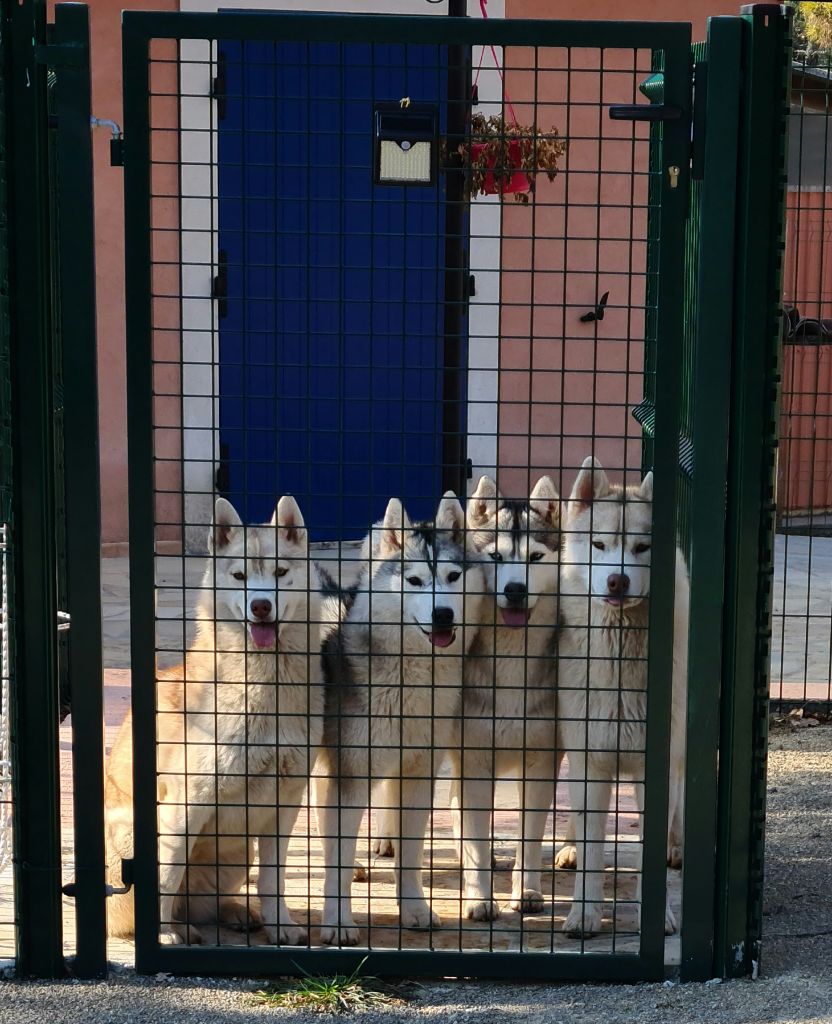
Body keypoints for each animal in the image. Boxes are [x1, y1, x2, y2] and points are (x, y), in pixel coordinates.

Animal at [102, 495, 321, 942]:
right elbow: (166, 877)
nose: (260, 605)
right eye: (239, 576)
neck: (262, 684)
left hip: (237, 853)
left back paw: (236, 913)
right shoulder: (186, 804)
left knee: (206, 904)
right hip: (135, 831)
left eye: (280, 572)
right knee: (149, 906)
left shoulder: (285, 802)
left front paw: (280, 925)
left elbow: (273, 878)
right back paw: (173, 927)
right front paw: (162, 935)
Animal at [315, 493, 489, 942]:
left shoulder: (418, 770)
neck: (412, 678)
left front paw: (413, 908)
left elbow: (411, 856)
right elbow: (337, 858)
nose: (443, 614)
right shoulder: (350, 773)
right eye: (414, 581)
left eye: (452, 576)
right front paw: (337, 921)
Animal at [454, 477, 565, 921]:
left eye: (535, 557)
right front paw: (479, 896)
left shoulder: (539, 759)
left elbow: (529, 836)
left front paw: (527, 891)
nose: (515, 590)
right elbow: (476, 838)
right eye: (497, 557)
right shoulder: (473, 760)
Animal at [557, 460, 688, 937]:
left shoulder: (657, 767)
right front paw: (583, 914)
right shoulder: (590, 760)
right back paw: (569, 849)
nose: (617, 579)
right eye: (599, 544)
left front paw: (659, 916)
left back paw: (676, 848)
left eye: (642, 547)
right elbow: (594, 847)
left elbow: (650, 850)